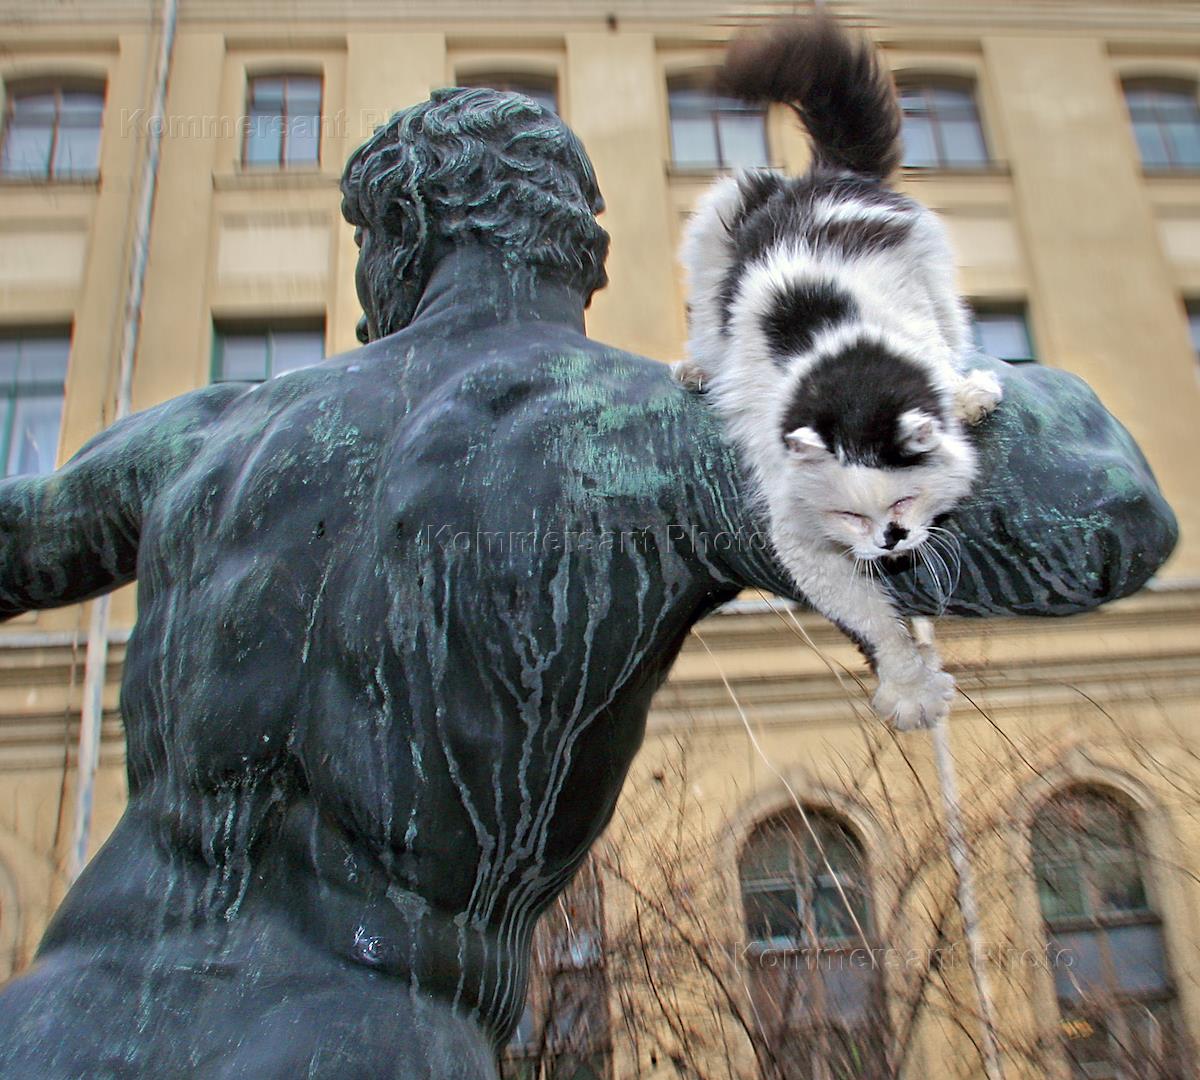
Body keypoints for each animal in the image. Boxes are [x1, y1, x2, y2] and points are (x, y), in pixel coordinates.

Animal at [676, 16, 1003, 729]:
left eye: (902, 502)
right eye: (852, 517)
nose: (889, 540)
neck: (836, 347)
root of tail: (816, 176)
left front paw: (966, 396)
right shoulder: (802, 540)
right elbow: (879, 625)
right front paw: (911, 692)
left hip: (928, 261)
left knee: (955, 333)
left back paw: (973, 391)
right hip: (715, 225)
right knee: (704, 326)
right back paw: (695, 370)